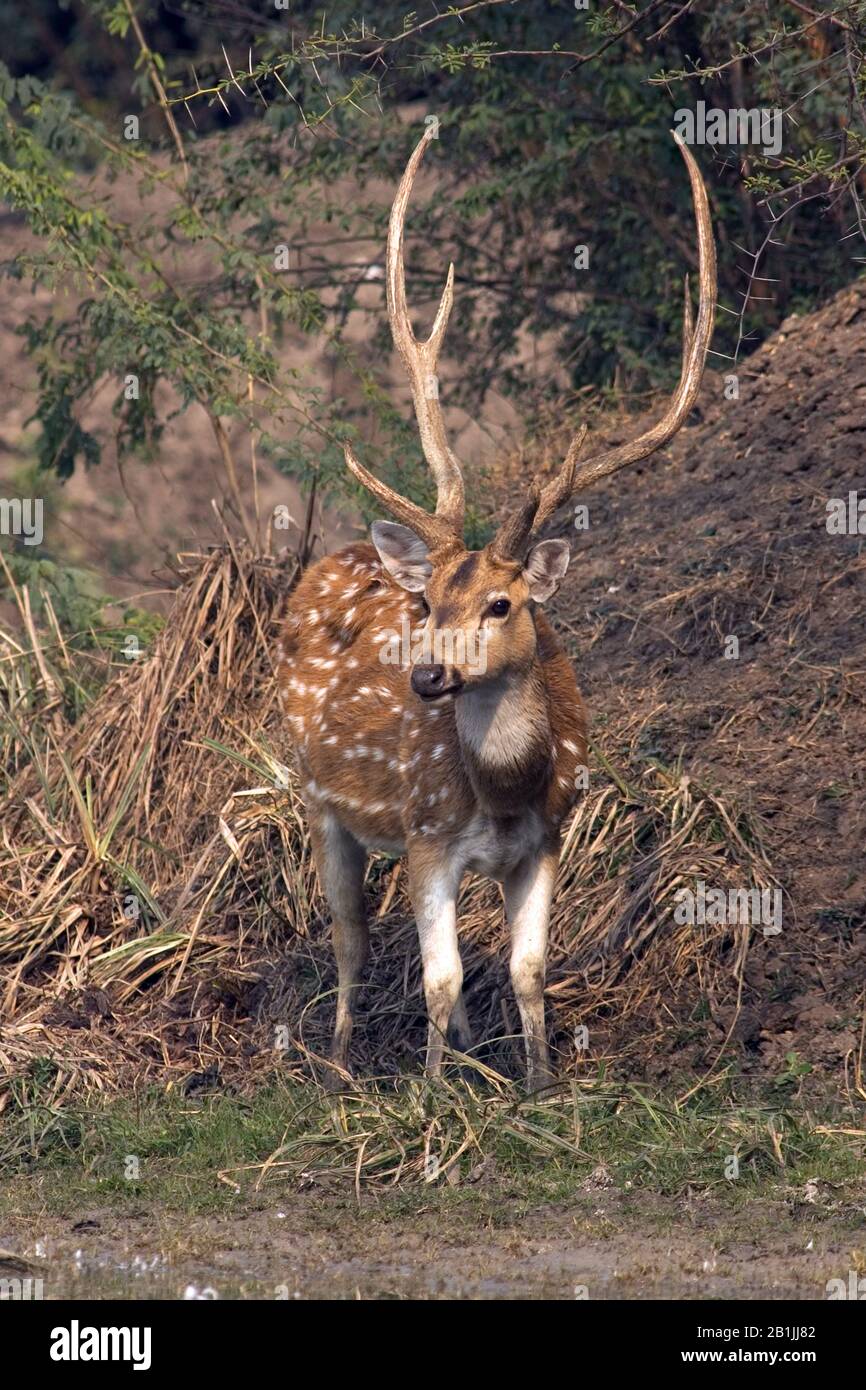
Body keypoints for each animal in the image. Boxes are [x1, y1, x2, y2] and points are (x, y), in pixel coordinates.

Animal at [276, 126, 716, 1091]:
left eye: (502, 602)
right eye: (427, 598)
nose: (429, 676)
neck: (505, 792)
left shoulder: (547, 838)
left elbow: (526, 967)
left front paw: (540, 1082)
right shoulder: (426, 836)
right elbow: (437, 976)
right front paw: (436, 1092)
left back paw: (472, 1053)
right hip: (318, 795)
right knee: (350, 938)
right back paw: (340, 1063)